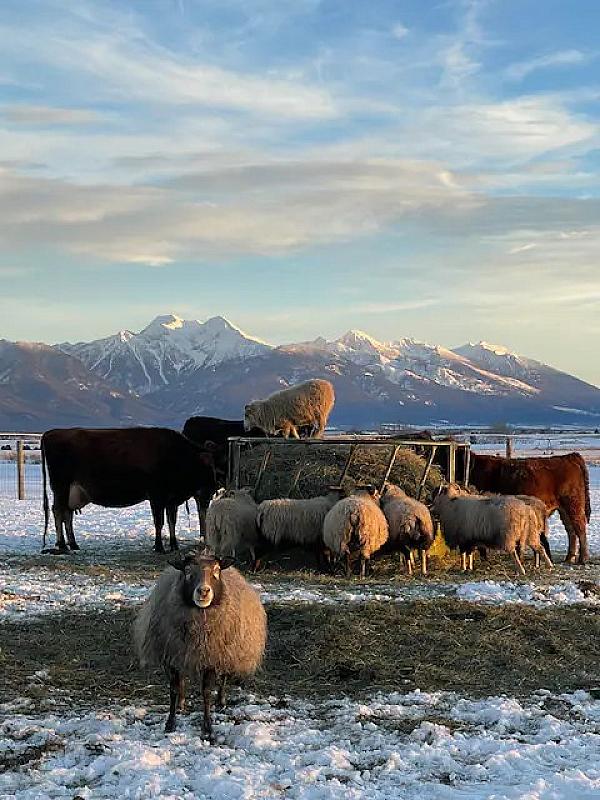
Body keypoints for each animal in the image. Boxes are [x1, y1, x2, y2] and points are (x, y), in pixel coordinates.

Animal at [133, 551, 267, 740]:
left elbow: (206, 692)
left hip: (227, 651)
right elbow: (173, 689)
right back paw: (181, 703)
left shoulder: (211, 656)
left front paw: (208, 728)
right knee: (182, 681)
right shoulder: (171, 656)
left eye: (216, 570)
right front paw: (170, 723)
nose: (203, 591)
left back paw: (221, 701)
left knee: (223, 677)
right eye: (187, 570)